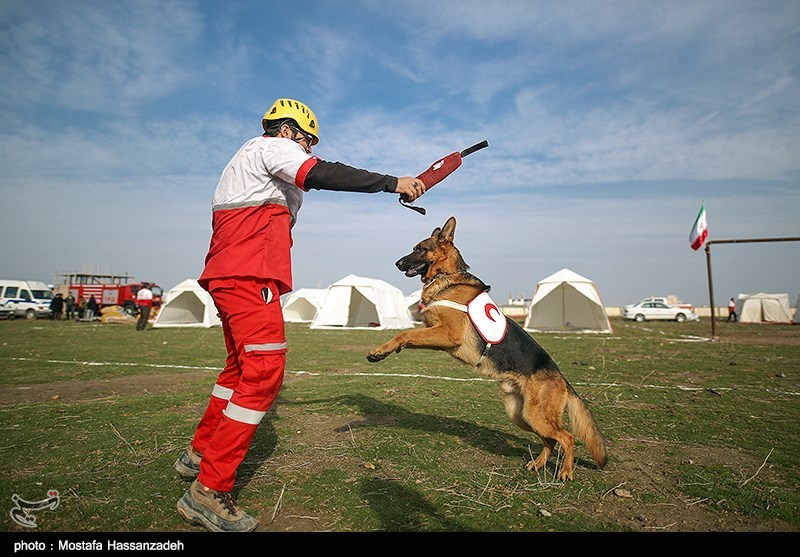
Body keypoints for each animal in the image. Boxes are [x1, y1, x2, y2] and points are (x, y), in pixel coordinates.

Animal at [368, 215, 608, 480]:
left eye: (419, 248)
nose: (397, 263)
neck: (446, 276)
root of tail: (562, 378)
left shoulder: (448, 334)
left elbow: (406, 333)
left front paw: (380, 351)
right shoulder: (435, 330)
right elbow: (411, 334)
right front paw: (388, 350)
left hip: (536, 415)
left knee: (568, 437)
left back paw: (565, 471)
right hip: (521, 415)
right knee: (551, 440)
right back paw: (538, 464)